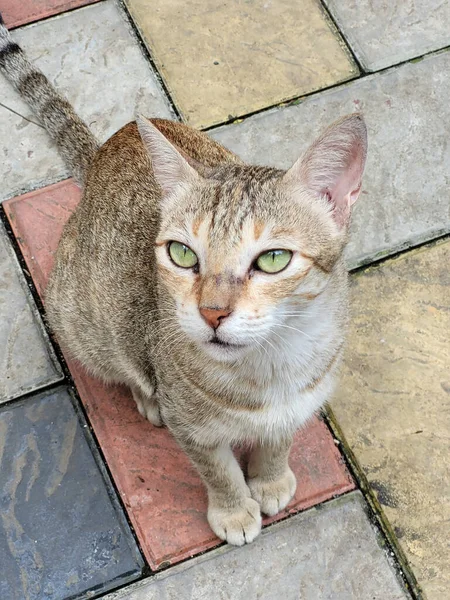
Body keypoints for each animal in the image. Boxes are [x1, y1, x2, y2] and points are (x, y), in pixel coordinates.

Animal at [0, 14, 366, 548]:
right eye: (181, 253)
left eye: (274, 259)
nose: (212, 312)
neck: (271, 366)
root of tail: (105, 149)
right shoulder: (192, 428)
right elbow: (218, 470)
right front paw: (234, 509)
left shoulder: (304, 398)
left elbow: (280, 439)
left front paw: (271, 477)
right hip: (81, 321)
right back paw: (144, 395)